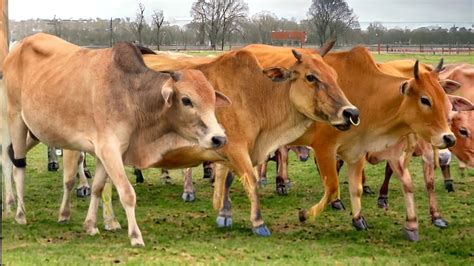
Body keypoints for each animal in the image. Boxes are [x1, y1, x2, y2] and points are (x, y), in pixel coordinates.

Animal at [1, 33, 231, 247]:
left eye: (212, 99)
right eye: (186, 100)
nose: (218, 138)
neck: (130, 94)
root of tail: (17, 47)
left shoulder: (106, 153)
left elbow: (97, 188)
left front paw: (91, 225)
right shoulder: (109, 149)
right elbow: (127, 193)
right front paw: (135, 236)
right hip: (16, 120)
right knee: (16, 166)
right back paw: (19, 213)